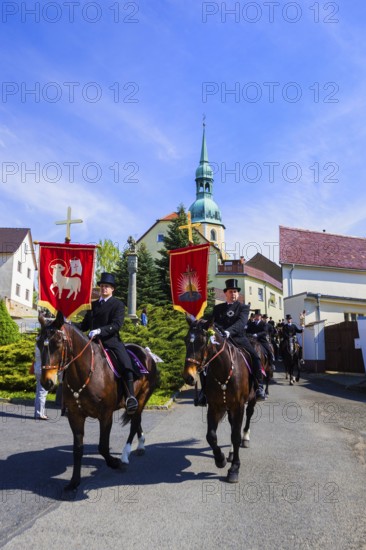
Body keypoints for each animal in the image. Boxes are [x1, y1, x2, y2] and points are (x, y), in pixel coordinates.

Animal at [38, 312, 159, 494]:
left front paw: (114, 462)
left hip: (143, 396)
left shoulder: (106, 415)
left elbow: (102, 446)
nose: (47, 382)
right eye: (39, 344)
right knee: (136, 420)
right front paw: (74, 482)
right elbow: (77, 449)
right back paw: (140, 445)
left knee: (135, 421)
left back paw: (125, 454)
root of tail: (146, 352)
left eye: (58, 344)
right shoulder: (75, 415)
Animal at [182, 322, 256, 486]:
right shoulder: (214, 406)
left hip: (251, 400)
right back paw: (230, 453)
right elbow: (211, 436)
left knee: (247, 417)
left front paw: (234, 469)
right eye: (185, 341)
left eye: (202, 342)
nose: (188, 377)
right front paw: (220, 459)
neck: (224, 370)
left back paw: (246, 438)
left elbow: (235, 436)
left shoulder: (238, 406)